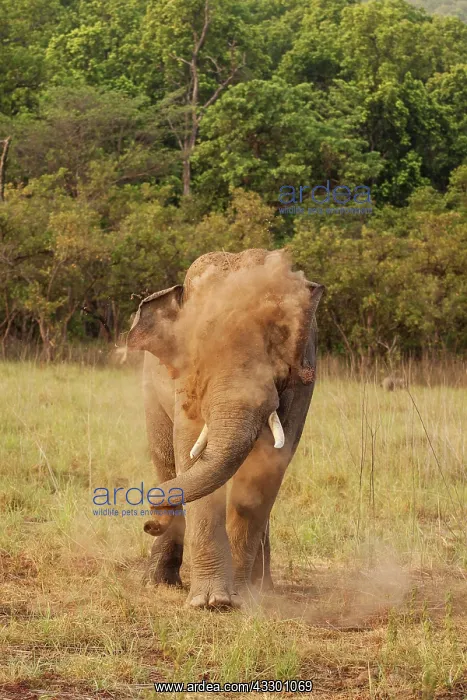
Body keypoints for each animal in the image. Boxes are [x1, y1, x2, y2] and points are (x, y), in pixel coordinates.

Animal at [127, 248, 324, 609]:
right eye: (199, 351)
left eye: (276, 351)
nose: (149, 523)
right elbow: (189, 450)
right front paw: (210, 602)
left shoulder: (304, 380)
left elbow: (269, 468)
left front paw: (240, 598)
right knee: (165, 460)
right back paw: (158, 583)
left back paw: (263, 586)